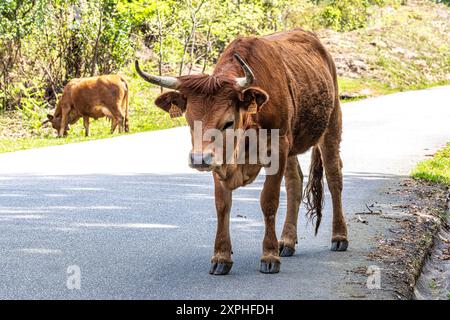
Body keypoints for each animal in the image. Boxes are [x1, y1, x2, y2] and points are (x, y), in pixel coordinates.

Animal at [134, 28, 348, 276]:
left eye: (227, 122)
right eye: (189, 121)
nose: (198, 159)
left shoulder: (278, 148)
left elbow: (269, 201)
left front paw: (269, 255)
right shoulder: (219, 160)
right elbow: (222, 204)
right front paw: (221, 256)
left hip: (331, 125)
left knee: (334, 177)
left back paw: (339, 236)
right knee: (295, 182)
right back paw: (287, 241)